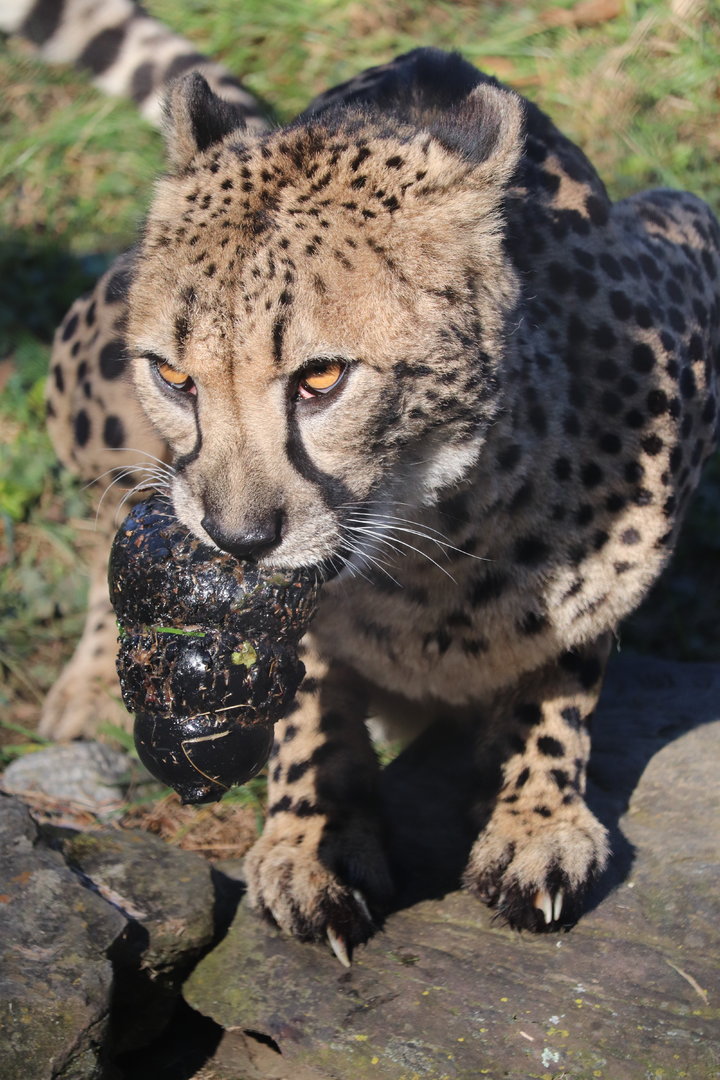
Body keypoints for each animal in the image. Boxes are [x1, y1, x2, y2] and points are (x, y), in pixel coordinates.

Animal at [8, 1, 720, 964]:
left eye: (321, 378)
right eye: (174, 377)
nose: (237, 538)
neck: (436, 542)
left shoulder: (684, 241)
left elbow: (572, 653)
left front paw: (536, 815)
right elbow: (306, 686)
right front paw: (316, 838)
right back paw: (90, 683)